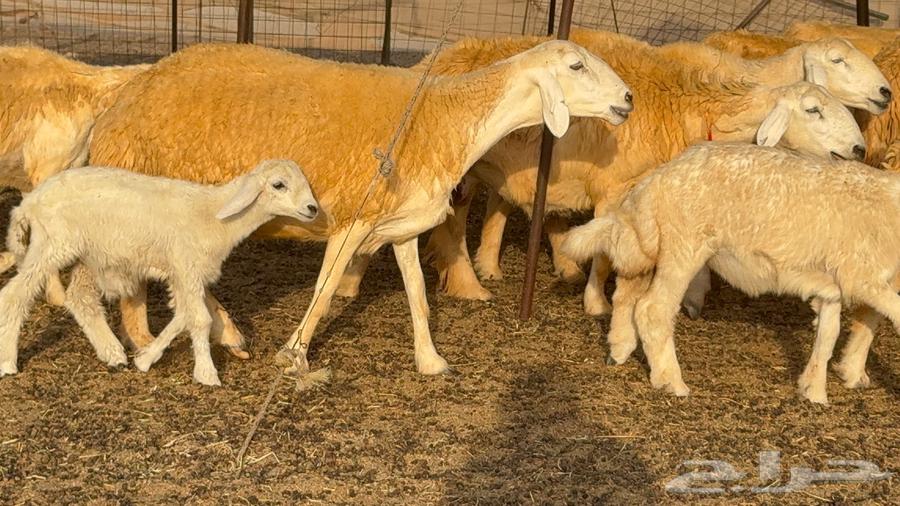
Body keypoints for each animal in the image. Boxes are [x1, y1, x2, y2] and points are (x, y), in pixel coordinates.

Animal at [0, 159, 320, 386]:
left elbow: (184, 316)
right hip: (52, 244)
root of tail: (29, 202)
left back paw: (113, 354)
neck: (214, 215)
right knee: (14, 296)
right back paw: (8, 362)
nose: (313, 209)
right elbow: (200, 319)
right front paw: (207, 373)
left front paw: (146, 359)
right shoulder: (187, 267)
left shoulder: (183, 273)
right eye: (279, 185)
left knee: (79, 298)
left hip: (89, 254)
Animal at [84, 40, 634, 376]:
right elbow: (326, 291)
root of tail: (121, 99)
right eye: (577, 66)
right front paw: (294, 356)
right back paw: (173, 338)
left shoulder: (401, 225)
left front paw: (430, 360)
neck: (443, 118)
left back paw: (220, 333)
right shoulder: (353, 219)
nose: (628, 99)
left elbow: (418, 295)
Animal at [364, 29, 883, 314]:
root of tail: (433, 58)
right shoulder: (614, 189)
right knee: (452, 221)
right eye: (814, 109)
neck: (688, 106)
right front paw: (598, 301)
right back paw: (468, 283)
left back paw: (490, 265)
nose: (859, 148)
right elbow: (606, 253)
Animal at [562, 142, 900, 404]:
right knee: (653, 309)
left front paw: (814, 391)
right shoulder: (862, 276)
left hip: (651, 246)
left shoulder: (833, 282)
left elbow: (828, 334)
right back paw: (671, 381)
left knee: (626, 293)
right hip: (684, 247)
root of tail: (656, 180)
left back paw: (618, 350)